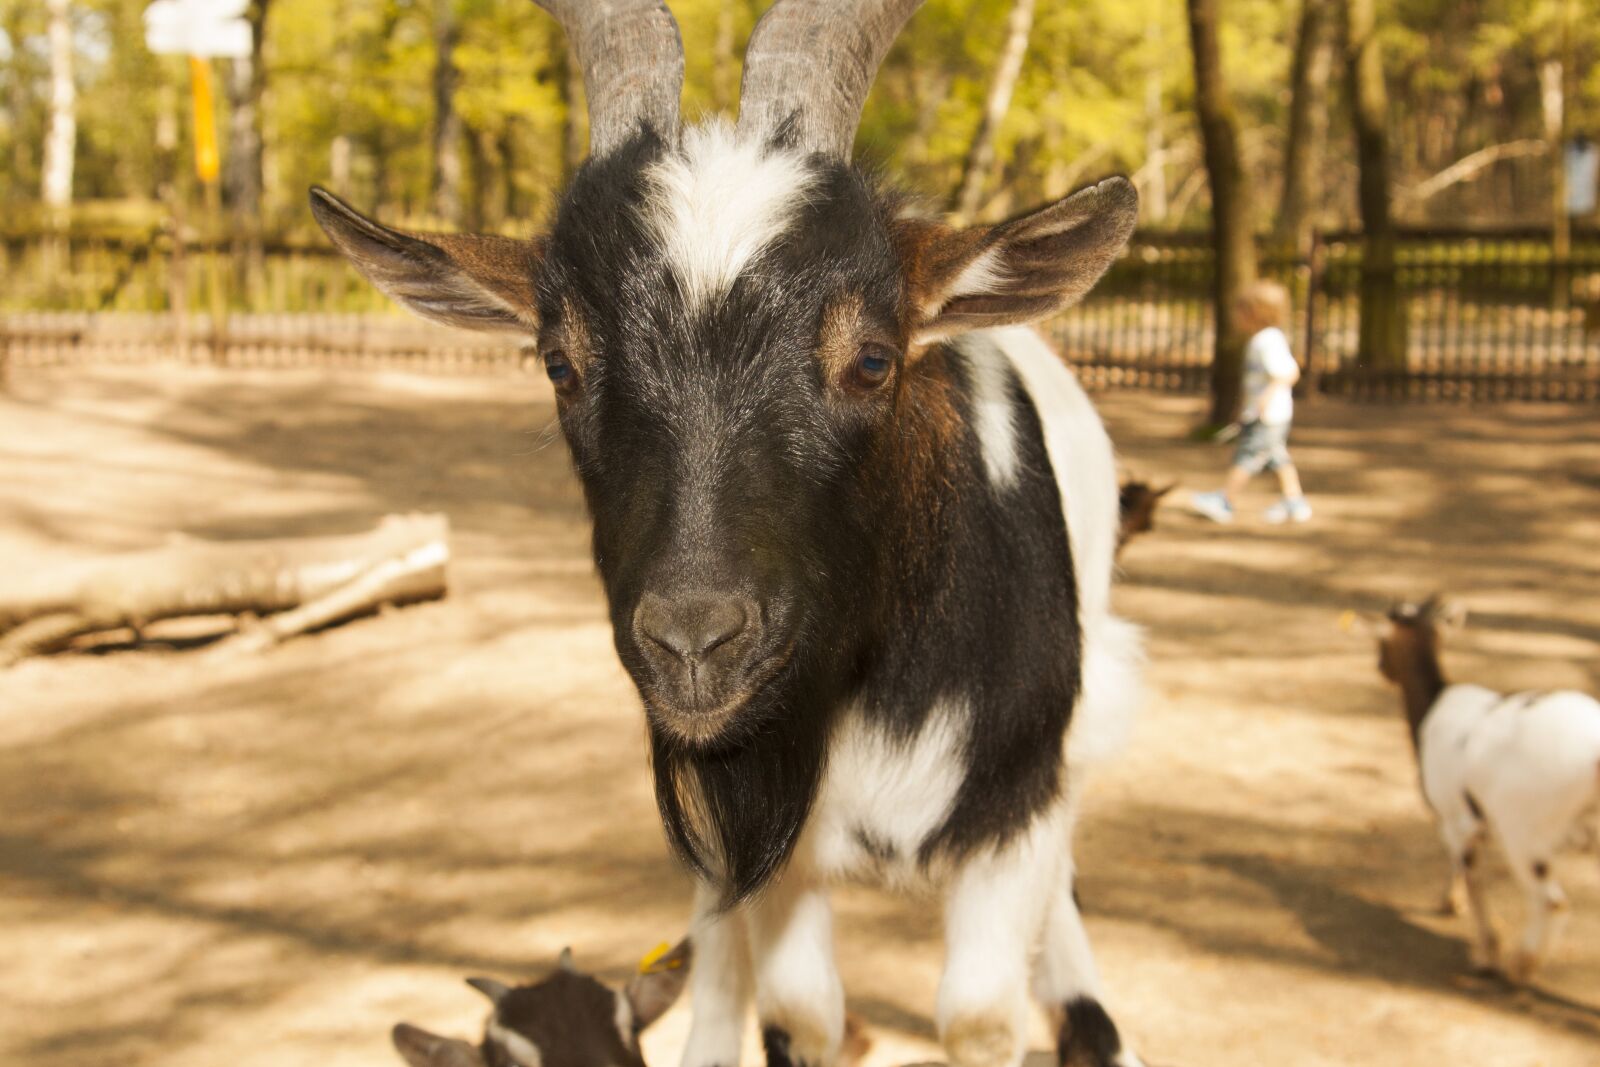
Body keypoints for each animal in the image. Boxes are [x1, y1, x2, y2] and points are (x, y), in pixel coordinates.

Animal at [1356, 597, 1600, 981]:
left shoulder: (1453, 817)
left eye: (1381, 642)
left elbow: (1471, 875)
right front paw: (1449, 902)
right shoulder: (1469, 820)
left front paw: (1486, 952)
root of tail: (1594, 751)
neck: (1434, 704)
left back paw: (1522, 963)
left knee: (1551, 901)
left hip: (1525, 832)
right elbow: (1464, 867)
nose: (1381, 668)